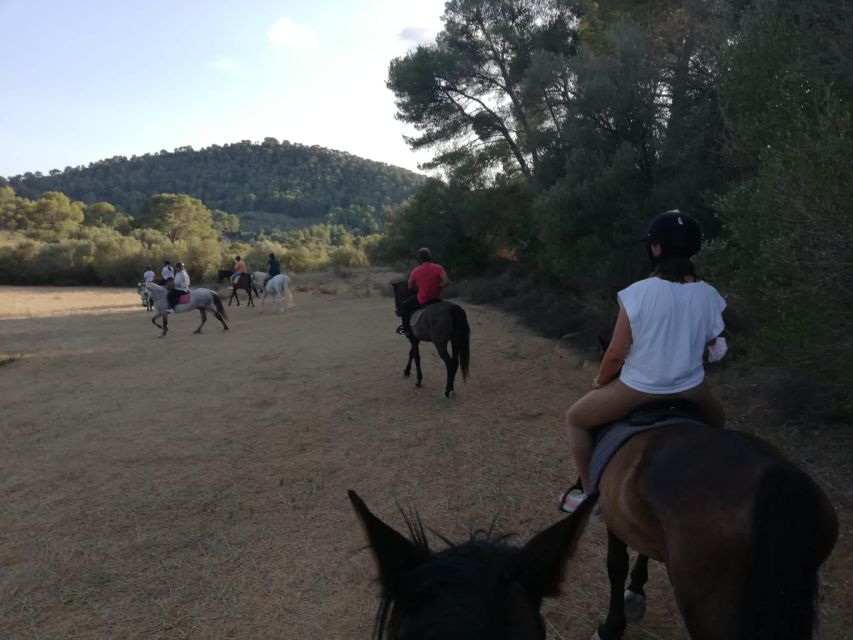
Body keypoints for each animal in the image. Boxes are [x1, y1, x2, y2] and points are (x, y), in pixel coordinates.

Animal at [584, 418, 836, 636]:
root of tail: (776, 475)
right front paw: (636, 592)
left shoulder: (614, 519)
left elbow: (616, 567)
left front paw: (610, 628)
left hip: (710, 606)